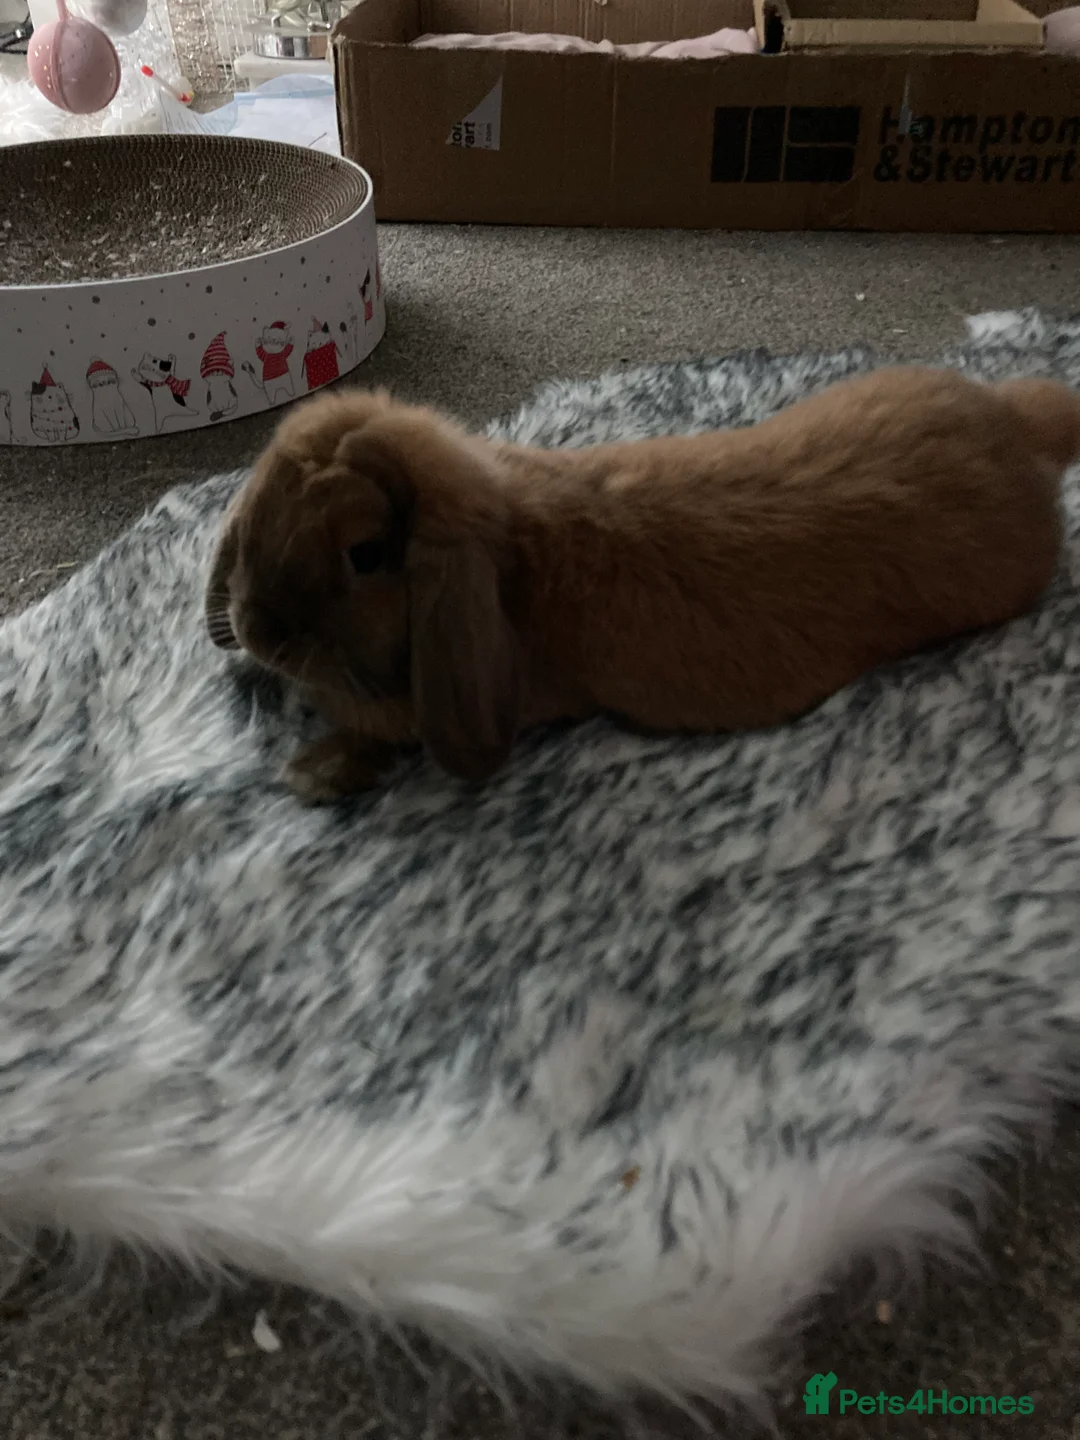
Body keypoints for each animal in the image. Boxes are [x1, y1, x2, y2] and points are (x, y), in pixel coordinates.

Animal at [205, 367, 1076, 803]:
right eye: (262, 497)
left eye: (365, 554)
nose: (258, 629)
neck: (518, 562)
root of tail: (1016, 428)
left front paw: (314, 772)